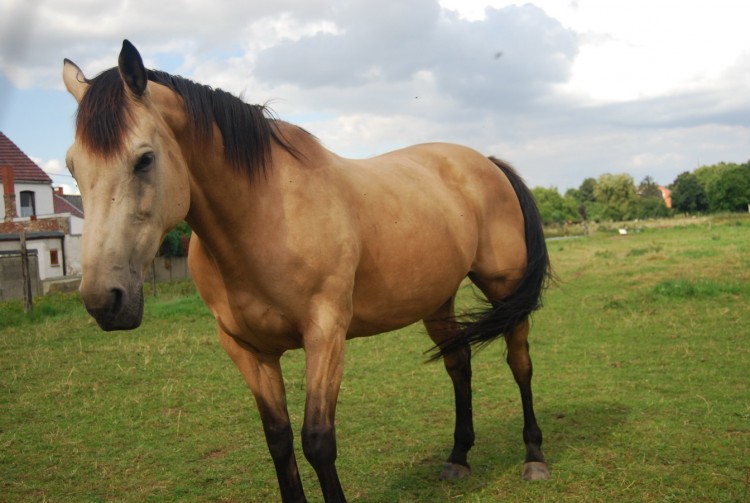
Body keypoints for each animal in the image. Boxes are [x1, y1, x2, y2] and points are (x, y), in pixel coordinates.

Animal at [63, 40, 552, 503]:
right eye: (71, 165)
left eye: (144, 159)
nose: (104, 299)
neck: (262, 215)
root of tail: (486, 163)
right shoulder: (247, 349)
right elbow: (278, 439)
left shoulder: (325, 333)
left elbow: (317, 441)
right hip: (437, 300)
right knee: (458, 363)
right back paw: (458, 458)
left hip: (504, 288)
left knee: (520, 364)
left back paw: (534, 457)